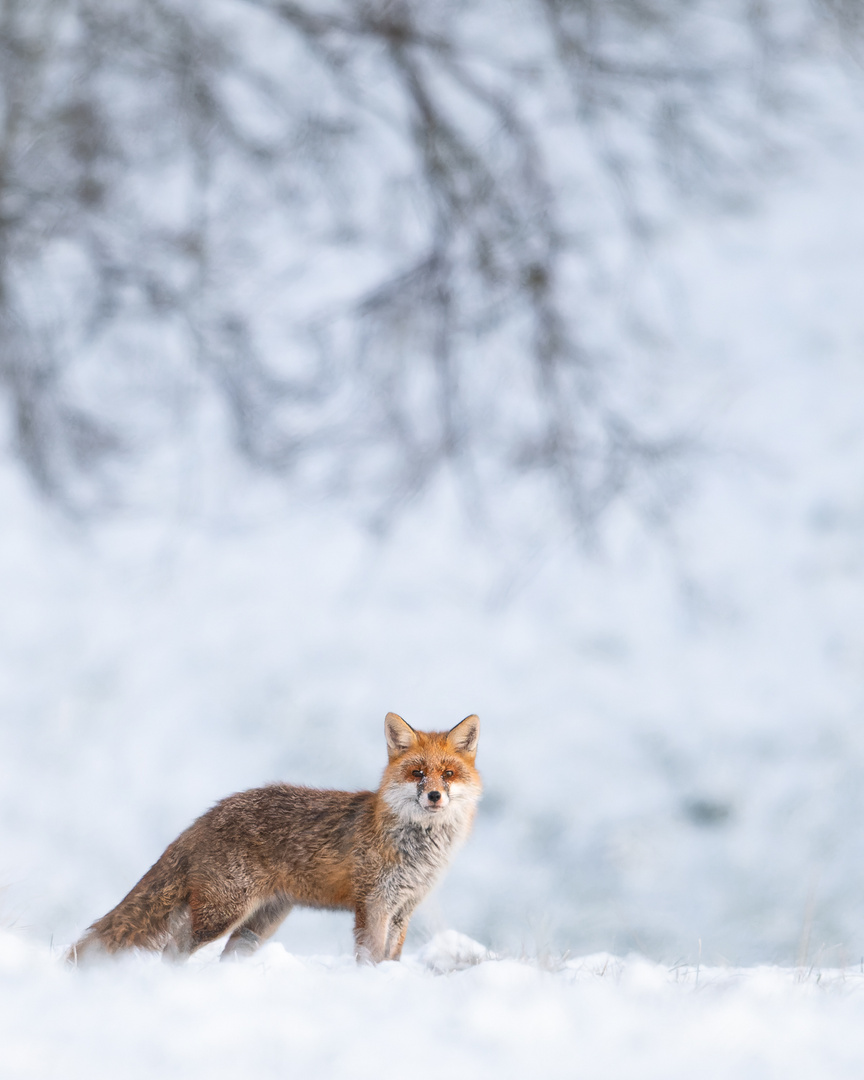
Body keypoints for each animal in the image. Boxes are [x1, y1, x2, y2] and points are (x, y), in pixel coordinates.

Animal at [69, 712, 479, 967]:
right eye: (417, 773)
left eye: (448, 774)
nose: (434, 796)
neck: (417, 849)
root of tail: (211, 812)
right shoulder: (374, 904)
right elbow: (371, 956)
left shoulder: (404, 909)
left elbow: (390, 958)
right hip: (223, 913)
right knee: (174, 948)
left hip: (257, 926)